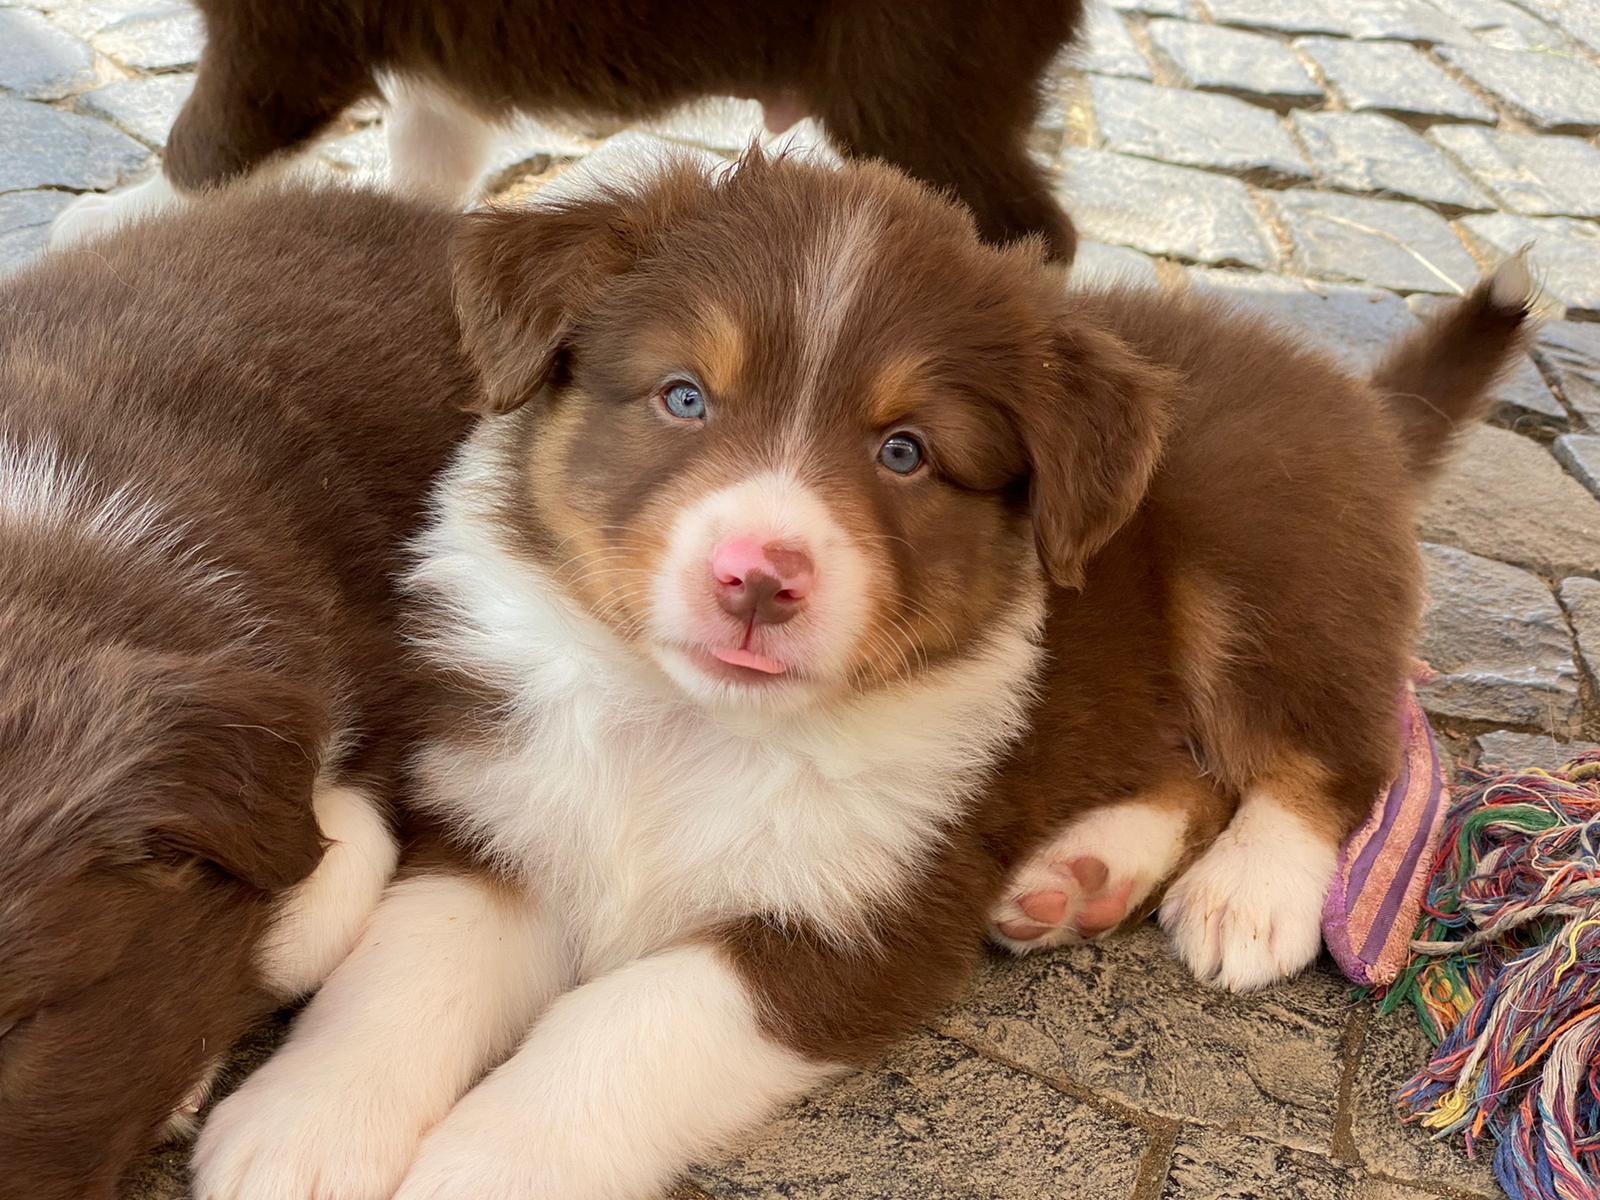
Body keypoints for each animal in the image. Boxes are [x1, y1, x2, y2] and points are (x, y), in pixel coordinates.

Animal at [50, 0, 1083, 262]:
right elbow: (432, 152)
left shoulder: (283, 33)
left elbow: (211, 139)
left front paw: (108, 220)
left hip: (906, 81)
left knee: (1029, 231)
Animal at [189, 151, 1532, 1200]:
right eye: (684, 397)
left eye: (904, 453)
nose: (757, 577)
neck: (689, 731)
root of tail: (1343, 387)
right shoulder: (493, 823)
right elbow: (397, 973)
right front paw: (299, 1130)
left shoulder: (850, 927)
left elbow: (612, 1034)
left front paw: (478, 1169)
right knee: (1182, 763)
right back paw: (1078, 877)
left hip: (1261, 567)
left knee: (1330, 752)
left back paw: (1249, 896)